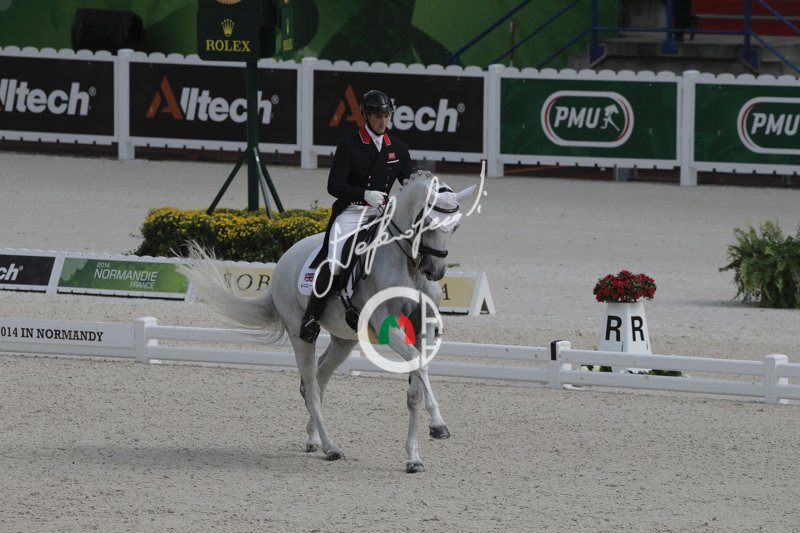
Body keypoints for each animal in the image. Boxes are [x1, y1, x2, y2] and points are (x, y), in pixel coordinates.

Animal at [180, 170, 475, 473]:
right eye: (427, 222)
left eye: (456, 226)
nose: (435, 271)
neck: (408, 265)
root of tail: (284, 260)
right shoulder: (386, 324)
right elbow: (419, 365)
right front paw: (438, 425)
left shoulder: (422, 326)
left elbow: (416, 382)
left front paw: (414, 456)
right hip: (300, 334)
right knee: (310, 387)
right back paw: (331, 447)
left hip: (344, 341)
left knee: (319, 379)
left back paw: (314, 440)